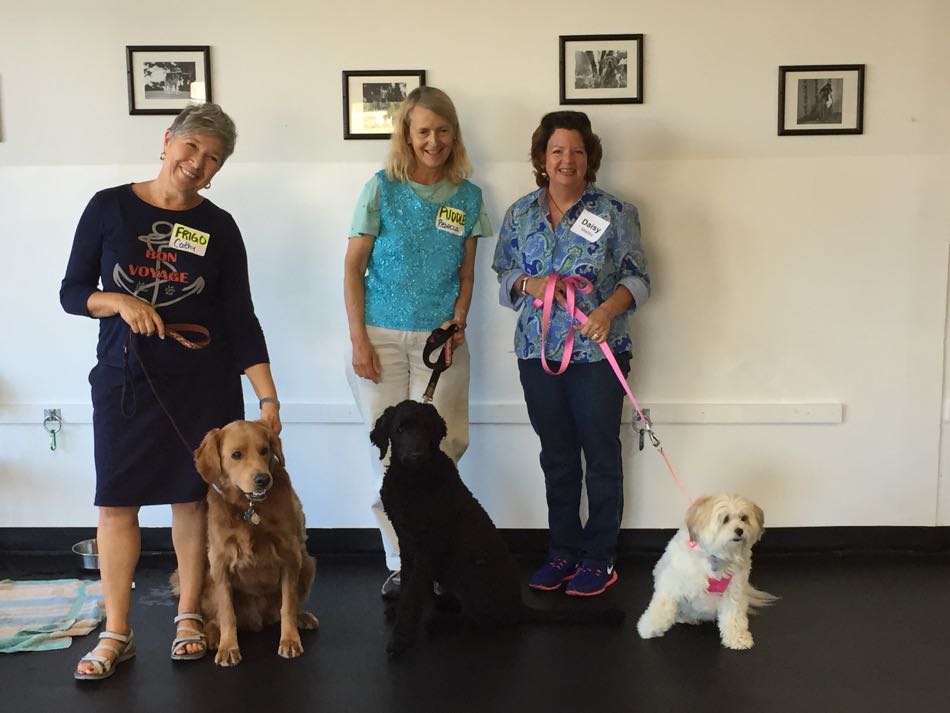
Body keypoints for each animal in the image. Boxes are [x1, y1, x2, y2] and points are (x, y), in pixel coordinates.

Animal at [372, 398, 624, 652]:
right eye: (400, 429)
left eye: (426, 428)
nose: (417, 455)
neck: (413, 478)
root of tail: (518, 606)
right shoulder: (407, 543)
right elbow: (407, 584)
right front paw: (398, 612)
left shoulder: (427, 547)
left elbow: (412, 594)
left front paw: (401, 639)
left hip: (469, 573)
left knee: (482, 619)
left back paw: (441, 623)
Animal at [640, 492, 772, 648]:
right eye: (725, 519)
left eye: (744, 518)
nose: (740, 530)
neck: (716, 558)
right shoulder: (673, 581)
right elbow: (662, 605)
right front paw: (648, 627)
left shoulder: (735, 590)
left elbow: (734, 617)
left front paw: (738, 638)